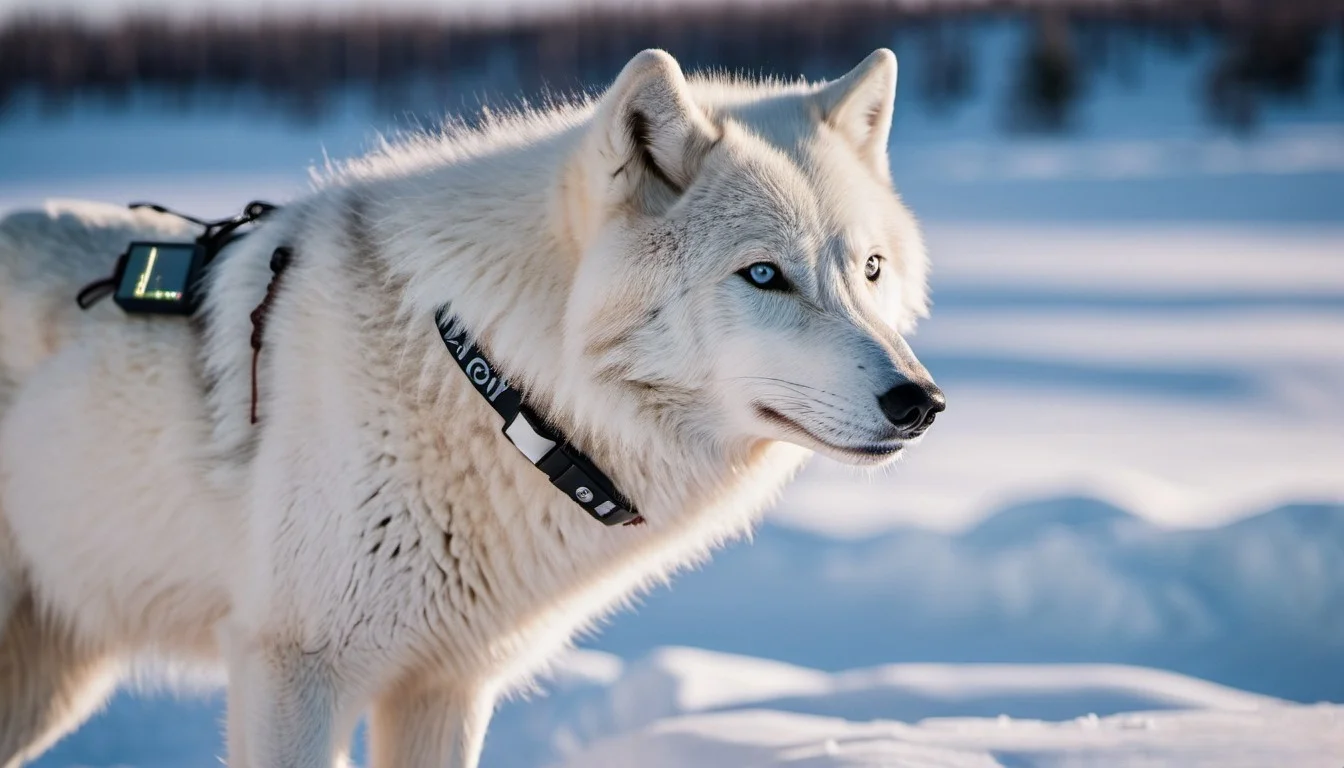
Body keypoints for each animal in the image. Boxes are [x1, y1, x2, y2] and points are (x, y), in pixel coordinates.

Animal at [0, 48, 942, 767]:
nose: (921, 402)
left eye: (869, 270)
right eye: (763, 274)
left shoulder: (446, 685)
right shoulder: (292, 668)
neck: (496, 383)